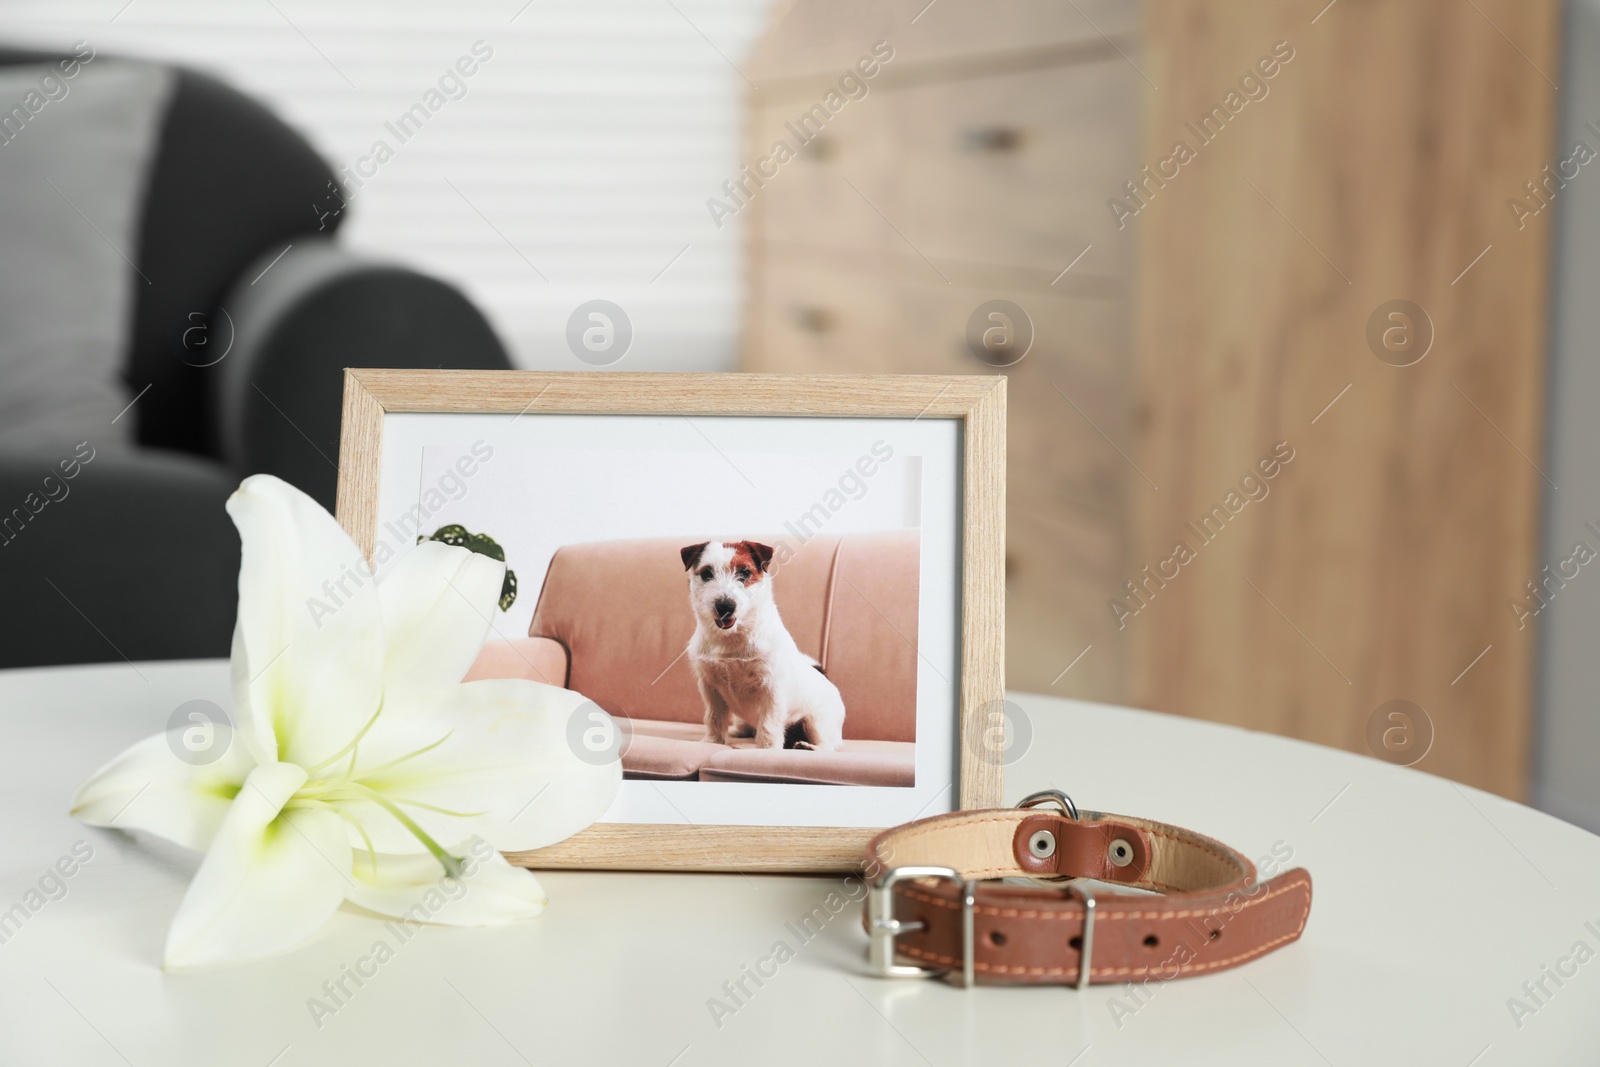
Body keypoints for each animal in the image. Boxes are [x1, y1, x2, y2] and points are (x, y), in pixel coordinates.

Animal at [678, 543, 851, 751]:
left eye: (745, 572)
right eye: (706, 573)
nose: (725, 606)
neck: (733, 638)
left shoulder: (772, 687)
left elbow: (769, 723)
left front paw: (766, 749)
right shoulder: (710, 687)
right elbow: (714, 717)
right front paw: (713, 741)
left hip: (816, 722)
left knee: (829, 745)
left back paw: (808, 747)